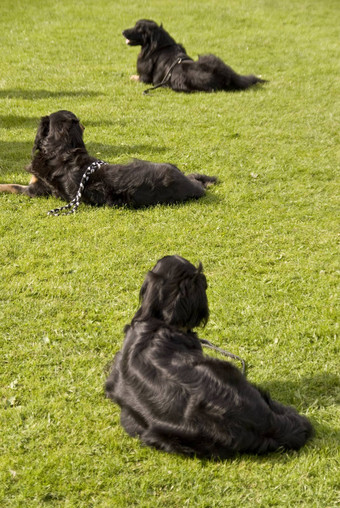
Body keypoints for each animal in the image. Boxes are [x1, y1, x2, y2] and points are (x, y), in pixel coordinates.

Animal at [122, 19, 266, 93]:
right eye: (135, 25)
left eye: (139, 28)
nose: (123, 31)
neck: (159, 46)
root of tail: (225, 76)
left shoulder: (146, 79)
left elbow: (134, 77)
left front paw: (129, 77)